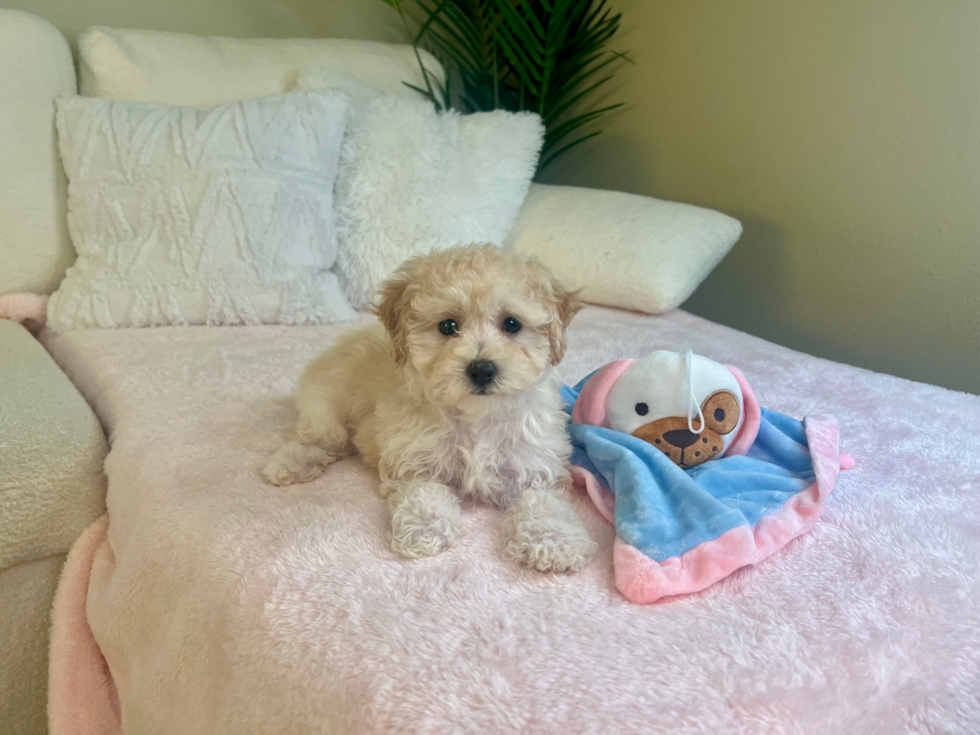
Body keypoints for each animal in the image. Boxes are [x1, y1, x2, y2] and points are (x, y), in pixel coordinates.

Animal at [262, 244, 596, 572]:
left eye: (512, 324)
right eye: (447, 326)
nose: (481, 370)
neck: (476, 415)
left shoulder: (535, 462)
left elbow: (544, 502)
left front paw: (553, 541)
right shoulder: (414, 458)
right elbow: (423, 493)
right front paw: (424, 528)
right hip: (327, 404)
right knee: (316, 438)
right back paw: (291, 462)